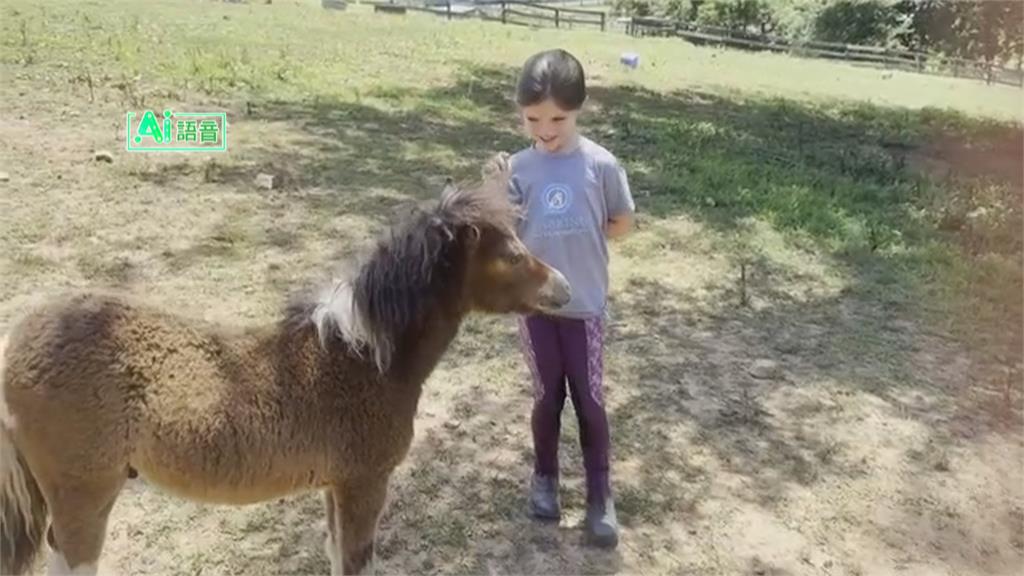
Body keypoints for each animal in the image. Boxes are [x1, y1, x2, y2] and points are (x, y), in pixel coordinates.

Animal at [0, 156, 571, 576]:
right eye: (512, 255)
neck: (363, 360)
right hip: (84, 496)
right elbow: (355, 561)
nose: (563, 288)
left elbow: (336, 553)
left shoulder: (337, 487)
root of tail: (18, 342)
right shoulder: (364, 481)